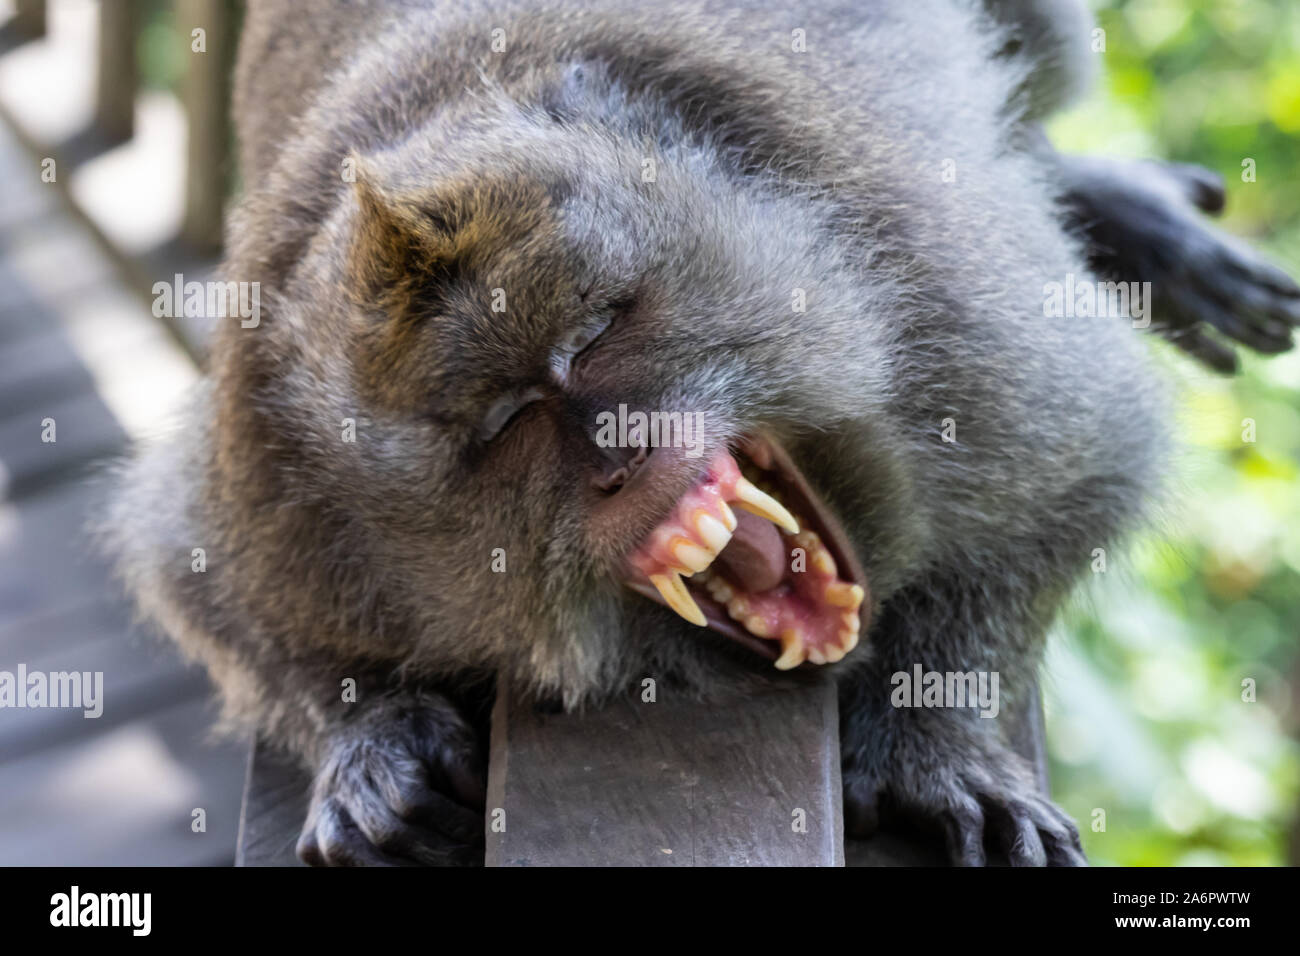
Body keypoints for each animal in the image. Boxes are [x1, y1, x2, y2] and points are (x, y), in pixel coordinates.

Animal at [101, 0, 1299, 866]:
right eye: (505, 422)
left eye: (593, 333)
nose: (623, 457)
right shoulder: (283, 474)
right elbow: (198, 577)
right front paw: (372, 744)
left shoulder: (936, 294)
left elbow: (1082, 469)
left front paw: (930, 738)